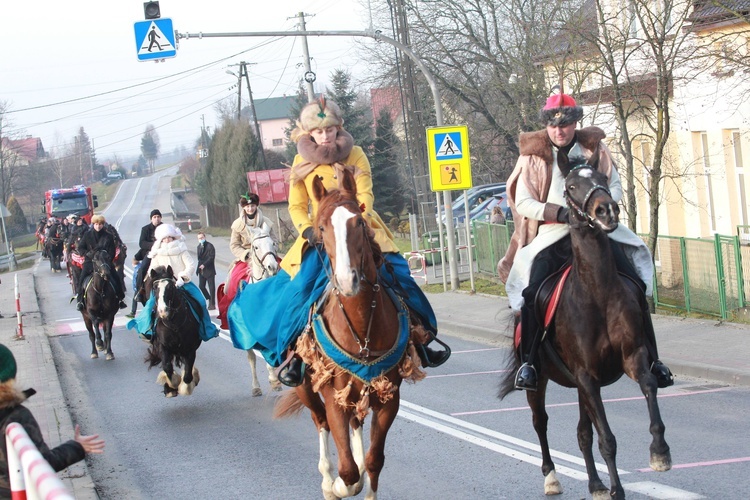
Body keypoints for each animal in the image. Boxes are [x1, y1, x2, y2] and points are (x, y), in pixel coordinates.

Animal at [144, 266, 201, 398]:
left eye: (171, 286)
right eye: (155, 288)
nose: (163, 311)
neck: (174, 323)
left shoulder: (190, 348)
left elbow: (187, 375)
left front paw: (186, 386)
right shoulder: (164, 346)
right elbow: (167, 367)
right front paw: (171, 387)